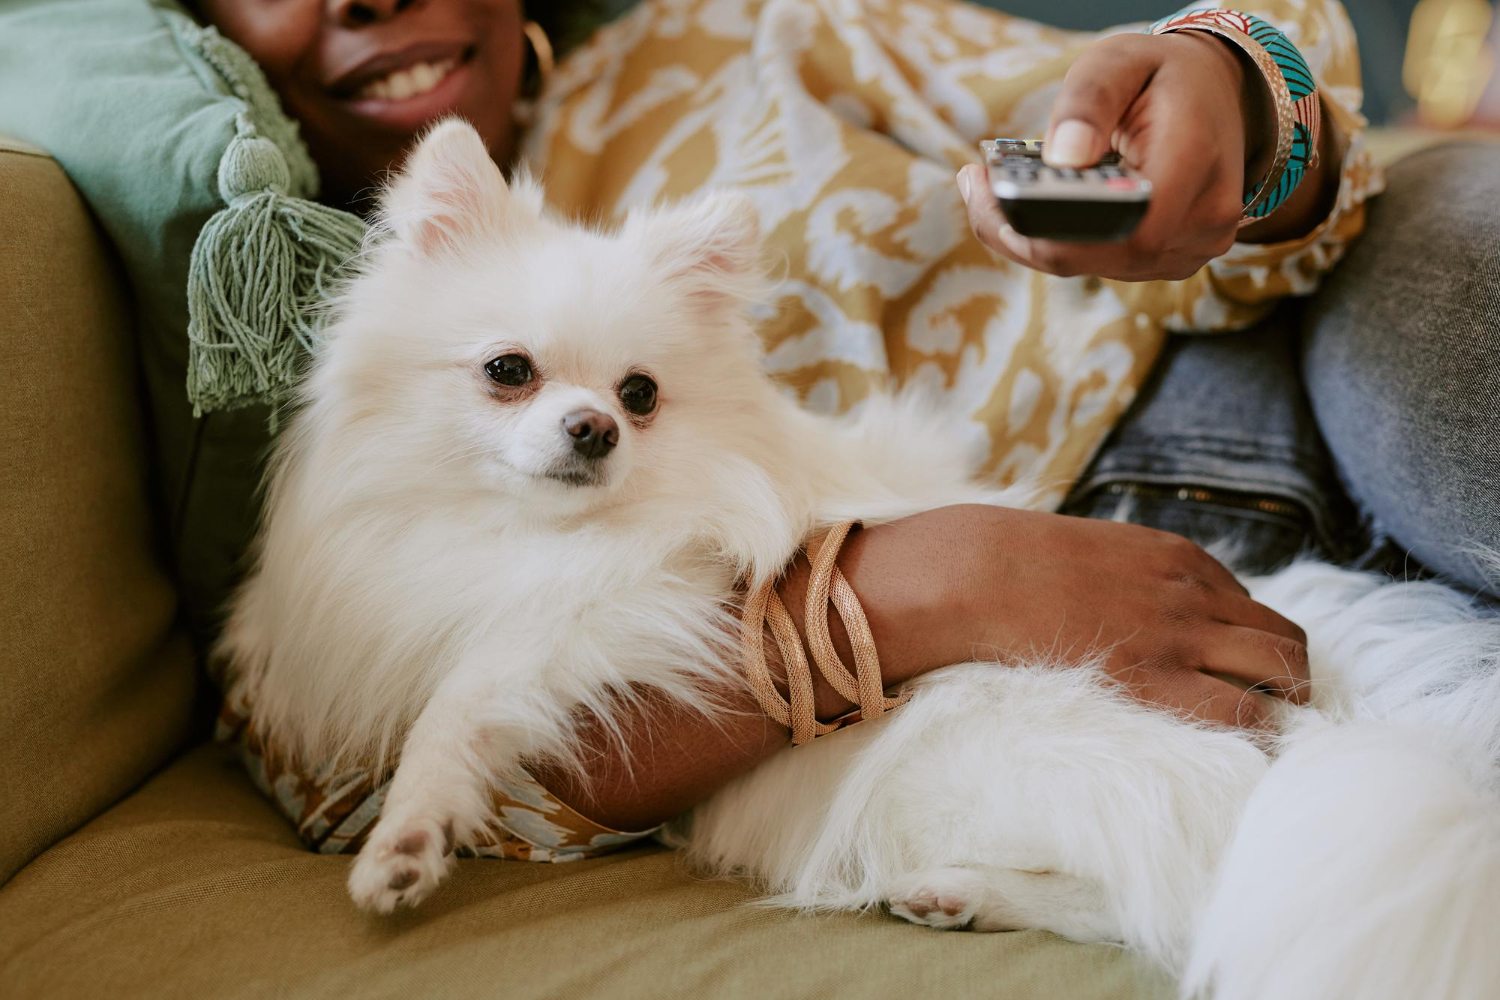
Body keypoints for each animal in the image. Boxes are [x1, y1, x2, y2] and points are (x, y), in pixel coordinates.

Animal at [222, 125, 1500, 1000]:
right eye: (507, 371)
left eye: (639, 396)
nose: (593, 429)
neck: (522, 534)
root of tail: (1334, 720)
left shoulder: (628, 612)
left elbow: (465, 700)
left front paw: (406, 841)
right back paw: (960, 897)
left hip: (978, 753)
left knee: (1183, 899)